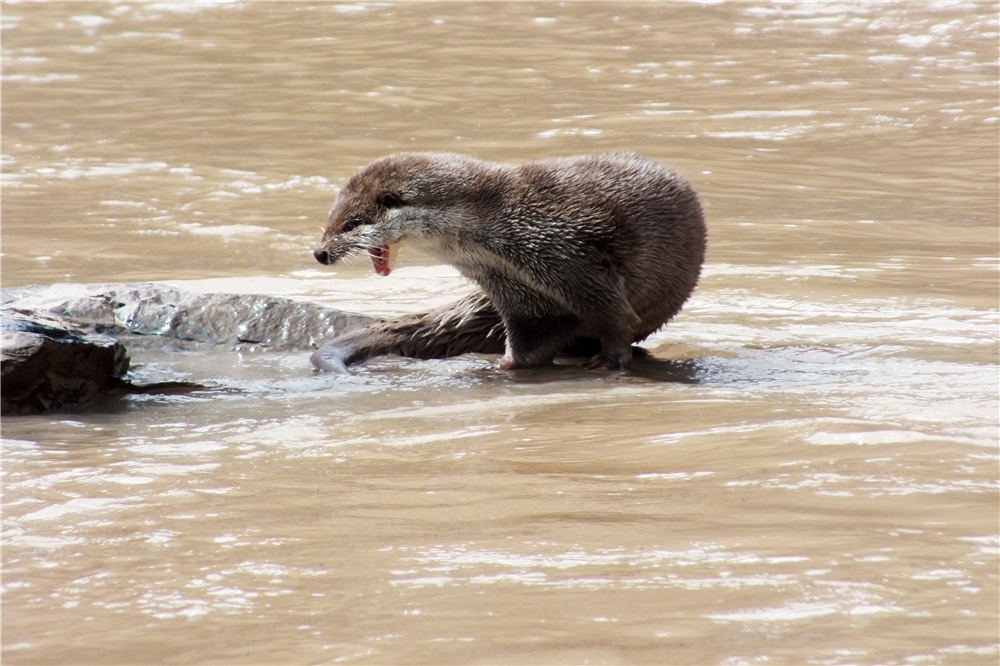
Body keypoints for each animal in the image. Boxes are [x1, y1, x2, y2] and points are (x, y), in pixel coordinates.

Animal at [310, 152, 704, 374]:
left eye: (351, 224)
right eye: (330, 220)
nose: (320, 253)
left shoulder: (573, 258)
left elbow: (615, 315)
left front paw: (611, 360)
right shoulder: (510, 286)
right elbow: (532, 337)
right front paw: (504, 366)